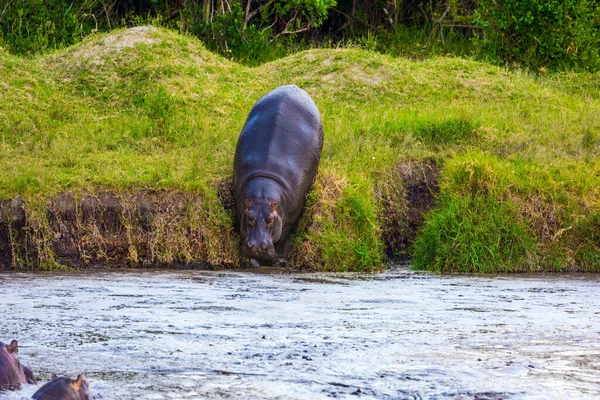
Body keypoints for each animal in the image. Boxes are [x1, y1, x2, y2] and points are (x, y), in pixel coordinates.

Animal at [233, 85, 324, 262]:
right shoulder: (241, 207)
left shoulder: (289, 216)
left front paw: (278, 258)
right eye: (249, 217)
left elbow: (283, 234)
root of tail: (293, 87)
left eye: (270, 219)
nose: (256, 246)